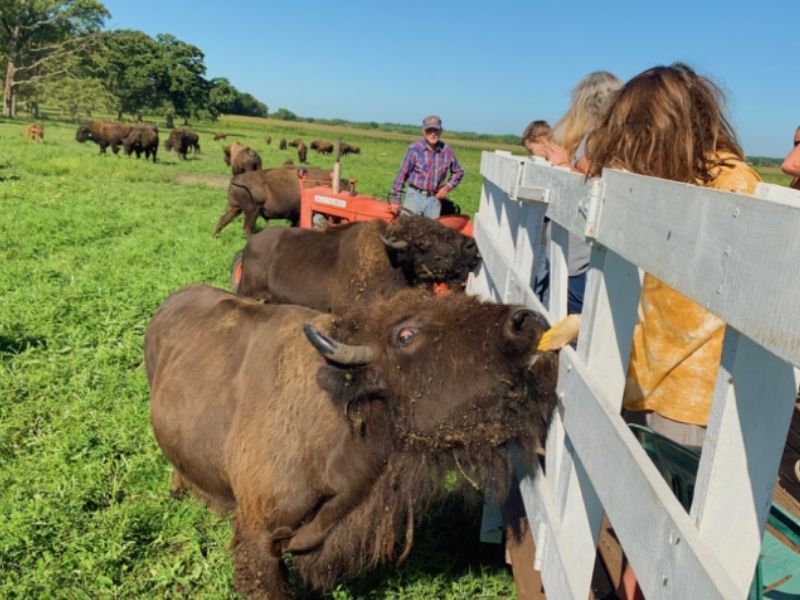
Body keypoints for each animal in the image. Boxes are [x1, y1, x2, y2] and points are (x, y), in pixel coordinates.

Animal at [212, 166, 350, 239]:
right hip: (252, 211)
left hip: (235, 208)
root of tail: (236, 178)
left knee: (223, 220)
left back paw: (214, 237)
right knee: (247, 228)